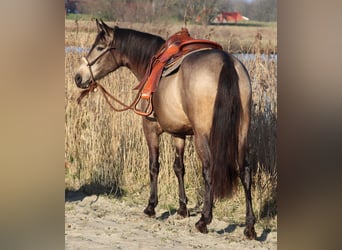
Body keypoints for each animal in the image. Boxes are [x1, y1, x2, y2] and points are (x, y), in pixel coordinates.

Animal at [75, 19, 256, 238]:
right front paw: (182, 208)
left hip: (203, 136)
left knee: (209, 170)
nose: (78, 77)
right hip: (242, 133)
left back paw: (204, 220)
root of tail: (226, 62)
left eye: (100, 47)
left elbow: (154, 166)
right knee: (245, 172)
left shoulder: (150, 129)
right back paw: (250, 226)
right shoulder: (179, 134)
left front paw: (151, 207)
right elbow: (179, 168)